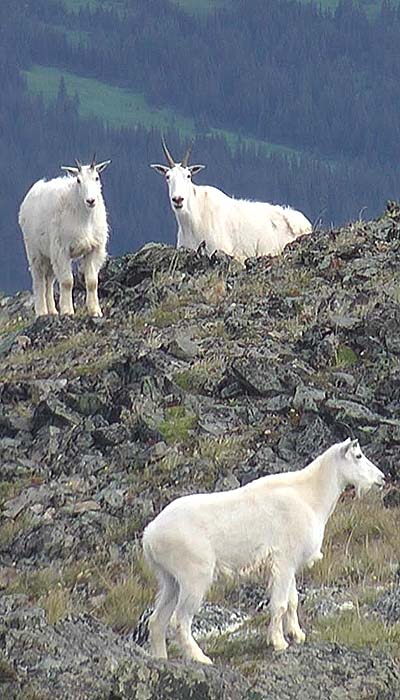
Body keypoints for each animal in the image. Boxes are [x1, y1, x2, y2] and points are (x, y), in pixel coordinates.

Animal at [19, 156, 111, 318]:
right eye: (78, 180)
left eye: (96, 177)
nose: (91, 201)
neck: (84, 217)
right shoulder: (62, 249)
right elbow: (67, 281)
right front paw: (68, 311)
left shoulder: (94, 248)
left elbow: (92, 281)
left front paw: (95, 311)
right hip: (34, 251)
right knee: (39, 280)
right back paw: (42, 312)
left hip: (49, 255)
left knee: (49, 280)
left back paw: (53, 311)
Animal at [143, 440, 384, 664]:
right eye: (358, 455)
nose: (381, 478)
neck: (310, 496)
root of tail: (149, 536)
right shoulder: (283, 561)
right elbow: (280, 604)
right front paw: (279, 642)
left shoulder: (290, 565)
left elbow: (293, 600)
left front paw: (297, 635)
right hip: (194, 576)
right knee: (180, 620)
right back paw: (200, 658)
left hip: (170, 579)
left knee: (157, 620)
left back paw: (161, 658)